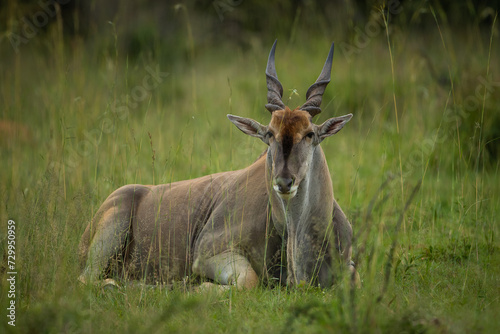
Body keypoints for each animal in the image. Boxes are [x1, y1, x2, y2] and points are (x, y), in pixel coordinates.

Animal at [79, 40, 356, 288]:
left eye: (309, 134)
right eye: (269, 134)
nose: (284, 182)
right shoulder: (206, 255)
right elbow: (248, 282)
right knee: (88, 280)